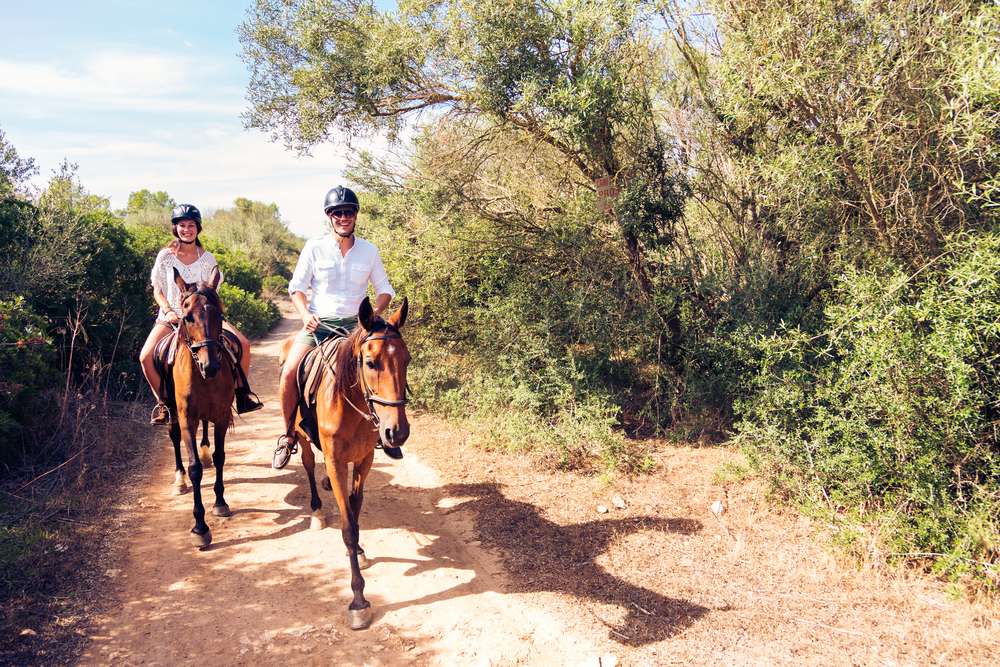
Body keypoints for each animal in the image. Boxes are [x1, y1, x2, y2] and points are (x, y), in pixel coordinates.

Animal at [164, 266, 236, 549]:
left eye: (220, 315)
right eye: (187, 317)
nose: (211, 366)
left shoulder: (222, 415)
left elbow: (220, 456)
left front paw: (221, 502)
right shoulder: (187, 419)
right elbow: (194, 468)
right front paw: (200, 527)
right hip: (172, 414)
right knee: (174, 438)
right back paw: (178, 480)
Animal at [279, 296, 410, 630]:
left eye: (407, 360)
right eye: (370, 363)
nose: (397, 432)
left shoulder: (365, 459)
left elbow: (355, 507)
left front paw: (361, 549)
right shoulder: (337, 461)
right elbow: (348, 525)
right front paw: (358, 600)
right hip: (302, 437)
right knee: (309, 465)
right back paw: (315, 509)